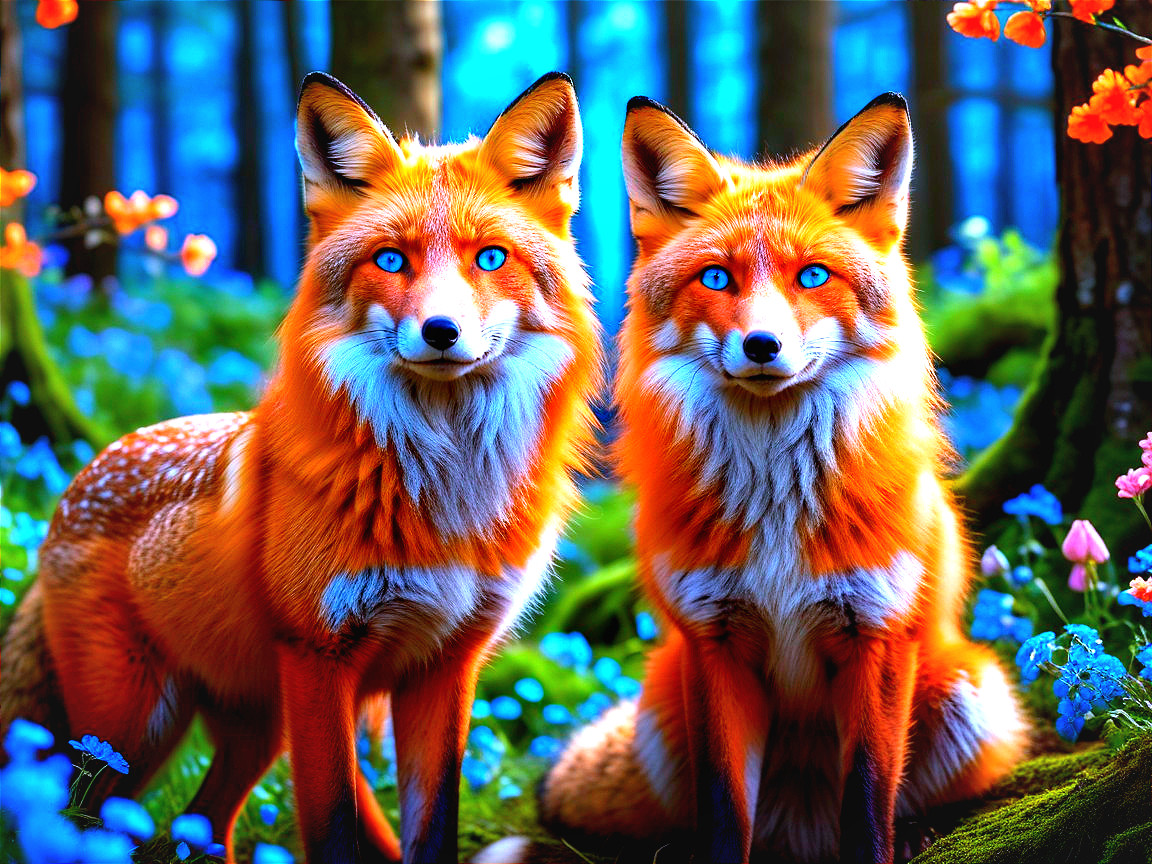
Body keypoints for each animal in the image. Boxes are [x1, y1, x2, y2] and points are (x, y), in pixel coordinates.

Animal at [0, 71, 600, 864]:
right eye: (391, 260)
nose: (441, 331)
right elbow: (335, 826)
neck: (444, 495)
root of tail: (69, 490)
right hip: (132, 729)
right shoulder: (319, 656)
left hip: (253, 729)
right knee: (70, 820)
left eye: (491, 258)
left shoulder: (444, 665)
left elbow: (431, 826)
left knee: (202, 826)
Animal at [529, 94, 1028, 864]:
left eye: (813, 276)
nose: (763, 345)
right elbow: (724, 810)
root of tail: (800, 830)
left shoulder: (876, 635)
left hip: (971, 688)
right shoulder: (714, 643)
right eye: (717, 278)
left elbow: (869, 798)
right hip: (663, 705)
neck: (775, 511)